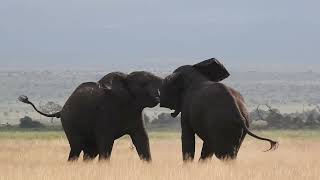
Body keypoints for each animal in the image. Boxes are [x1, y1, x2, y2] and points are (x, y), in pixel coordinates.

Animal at [18, 70, 162, 162]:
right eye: (143, 84)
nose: (158, 96)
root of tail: (61, 110)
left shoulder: (135, 112)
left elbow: (142, 139)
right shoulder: (105, 111)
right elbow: (106, 141)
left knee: (90, 152)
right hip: (70, 124)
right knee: (76, 148)